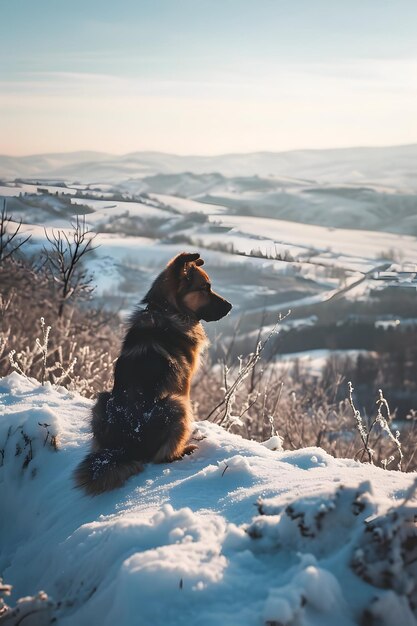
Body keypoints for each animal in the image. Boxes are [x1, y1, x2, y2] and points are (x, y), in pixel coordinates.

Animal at [75, 251, 231, 494]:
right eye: (205, 288)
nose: (230, 306)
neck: (167, 309)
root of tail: (125, 447)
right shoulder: (185, 384)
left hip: (101, 400)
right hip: (177, 405)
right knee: (161, 458)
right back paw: (184, 450)